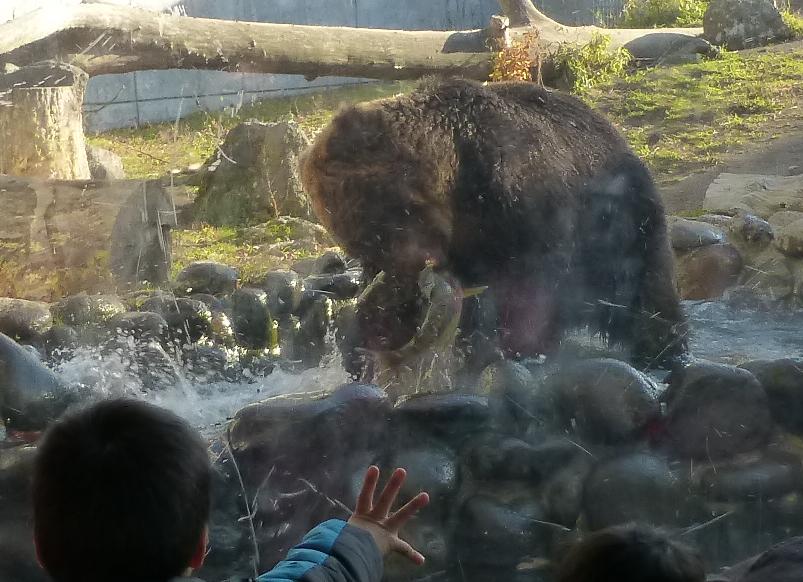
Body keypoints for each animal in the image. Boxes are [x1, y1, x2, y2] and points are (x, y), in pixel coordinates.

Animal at [300, 78, 688, 373]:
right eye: (359, 242)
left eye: (382, 224)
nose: (399, 268)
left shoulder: (521, 201)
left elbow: (529, 293)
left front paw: (517, 351)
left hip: (624, 222)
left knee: (647, 291)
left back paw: (662, 351)